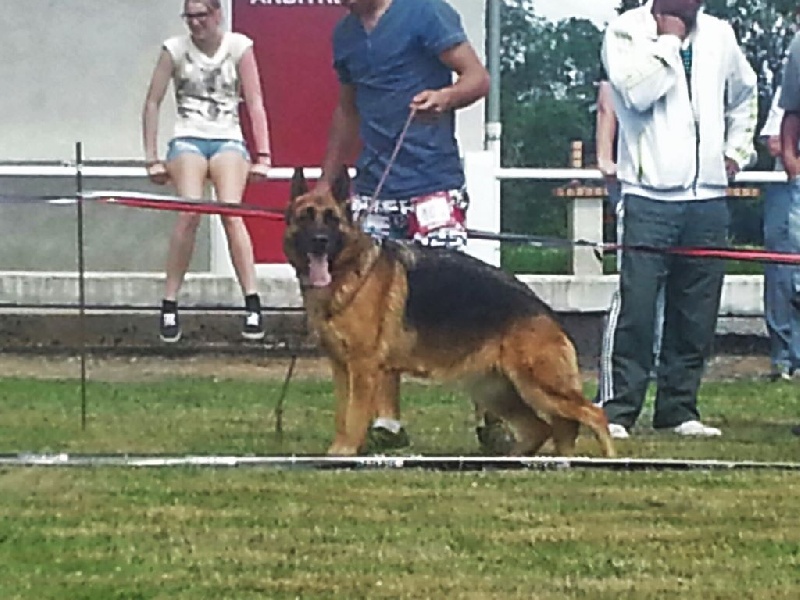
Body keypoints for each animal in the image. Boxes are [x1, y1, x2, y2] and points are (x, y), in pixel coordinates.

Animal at [284, 166, 616, 458]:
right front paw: (339, 450)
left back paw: (610, 461)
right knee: (541, 427)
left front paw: (344, 452)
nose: (320, 242)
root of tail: (546, 311)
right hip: (496, 389)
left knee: (593, 414)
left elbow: (353, 416)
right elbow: (342, 414)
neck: (350, 271)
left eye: (331, 219)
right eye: (305, 218)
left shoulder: (363, 369)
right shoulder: (342, 368)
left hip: (538, 385)